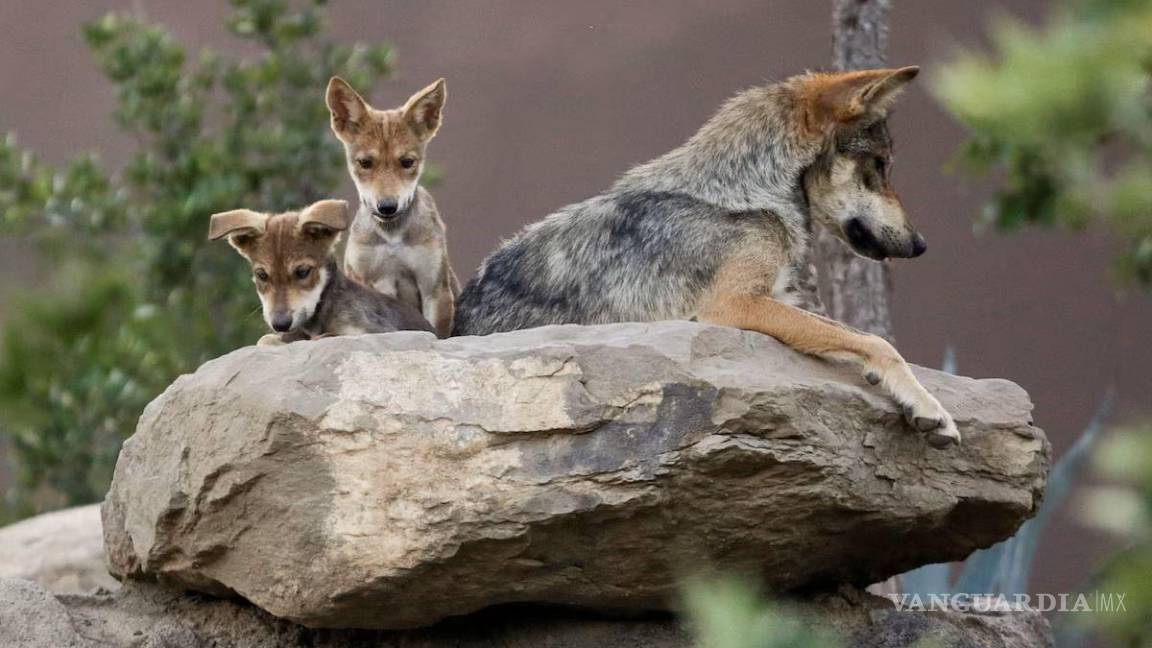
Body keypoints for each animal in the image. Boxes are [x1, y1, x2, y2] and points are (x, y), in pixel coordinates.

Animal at [209, 199, 434, 345]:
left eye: (302, 272)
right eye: (262, 275)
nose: (280, 324)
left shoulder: (375, 331)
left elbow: (327, 336)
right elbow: (266, 340)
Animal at [326, 76, 459, 338]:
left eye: (407, 162)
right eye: (365, 163)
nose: (387, 206)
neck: (391, 239)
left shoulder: (434, 289)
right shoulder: (368, 282)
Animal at [454, 66, 960, 447]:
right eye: (881, 166)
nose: (921, 245)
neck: (743, 191)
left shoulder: (784, 299)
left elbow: (857, 336)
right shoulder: (734, 305)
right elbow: (879, 342)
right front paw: (931, 408)